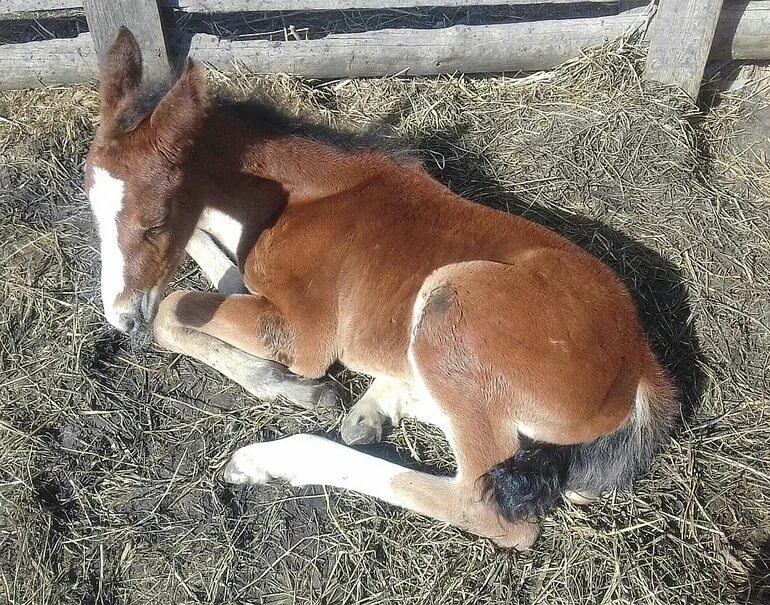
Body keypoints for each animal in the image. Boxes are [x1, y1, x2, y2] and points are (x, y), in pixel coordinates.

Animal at [84, 27, 672, 548]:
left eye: (155, 222)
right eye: (91, 205)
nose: (121, 316)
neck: (295, 199)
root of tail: (641, 367)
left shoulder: (303, 333)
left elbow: (175, 307)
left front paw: (288, 386)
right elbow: (207, 267)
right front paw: (280, 382)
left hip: (450, 302)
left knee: (482, 506)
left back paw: (272, 459)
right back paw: (371, 409)